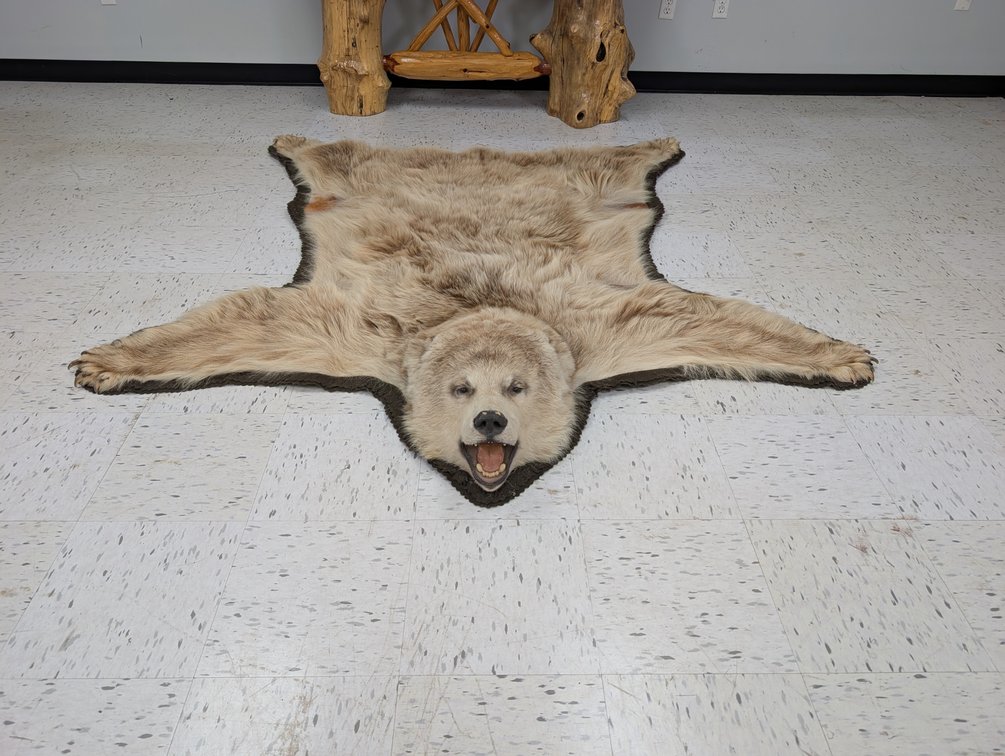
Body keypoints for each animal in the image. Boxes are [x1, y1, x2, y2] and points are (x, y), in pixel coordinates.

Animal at [71, 135, 874, 503]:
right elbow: (245, 318)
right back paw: (298, 142)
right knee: (343, 157)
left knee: (606, 166)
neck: (477, 307)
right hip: (363, 184)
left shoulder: (605, 329)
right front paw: (112, 361)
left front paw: (838, 356)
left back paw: (651, 143)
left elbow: (707, 318)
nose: (489, 420)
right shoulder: (359, 331)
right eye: (463, 391)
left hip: (588, 189)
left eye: (515, 389)